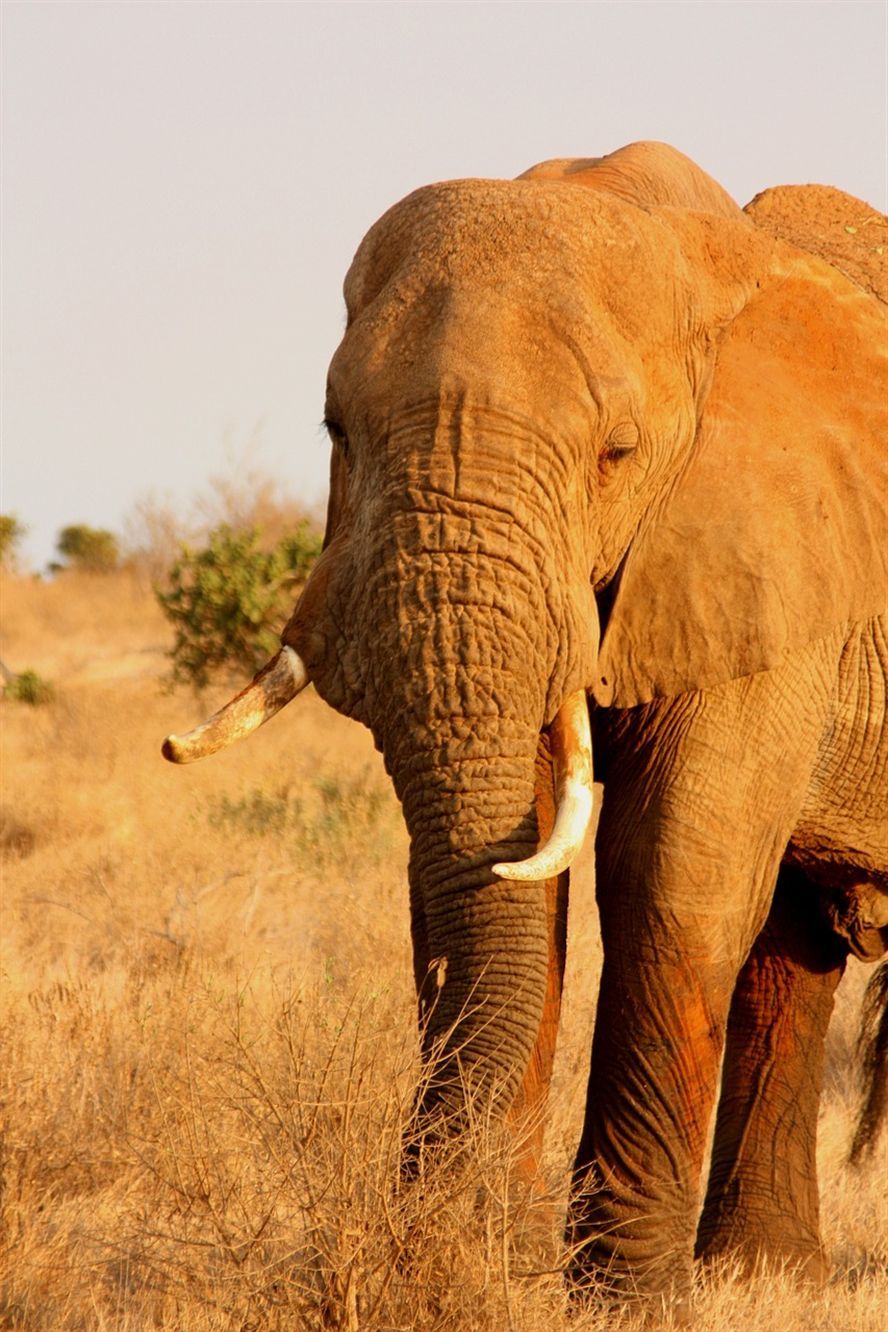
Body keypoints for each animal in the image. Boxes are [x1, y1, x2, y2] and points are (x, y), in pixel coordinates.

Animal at [164, 142, 888, 1305]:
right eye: (334, 431)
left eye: (617, 453)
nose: (440, 1240)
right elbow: (503, 883)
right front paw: (489, 1256)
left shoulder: (768, 551)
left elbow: (671, 882)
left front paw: (626, 1297)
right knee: (794, 945)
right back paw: (765, 1279)